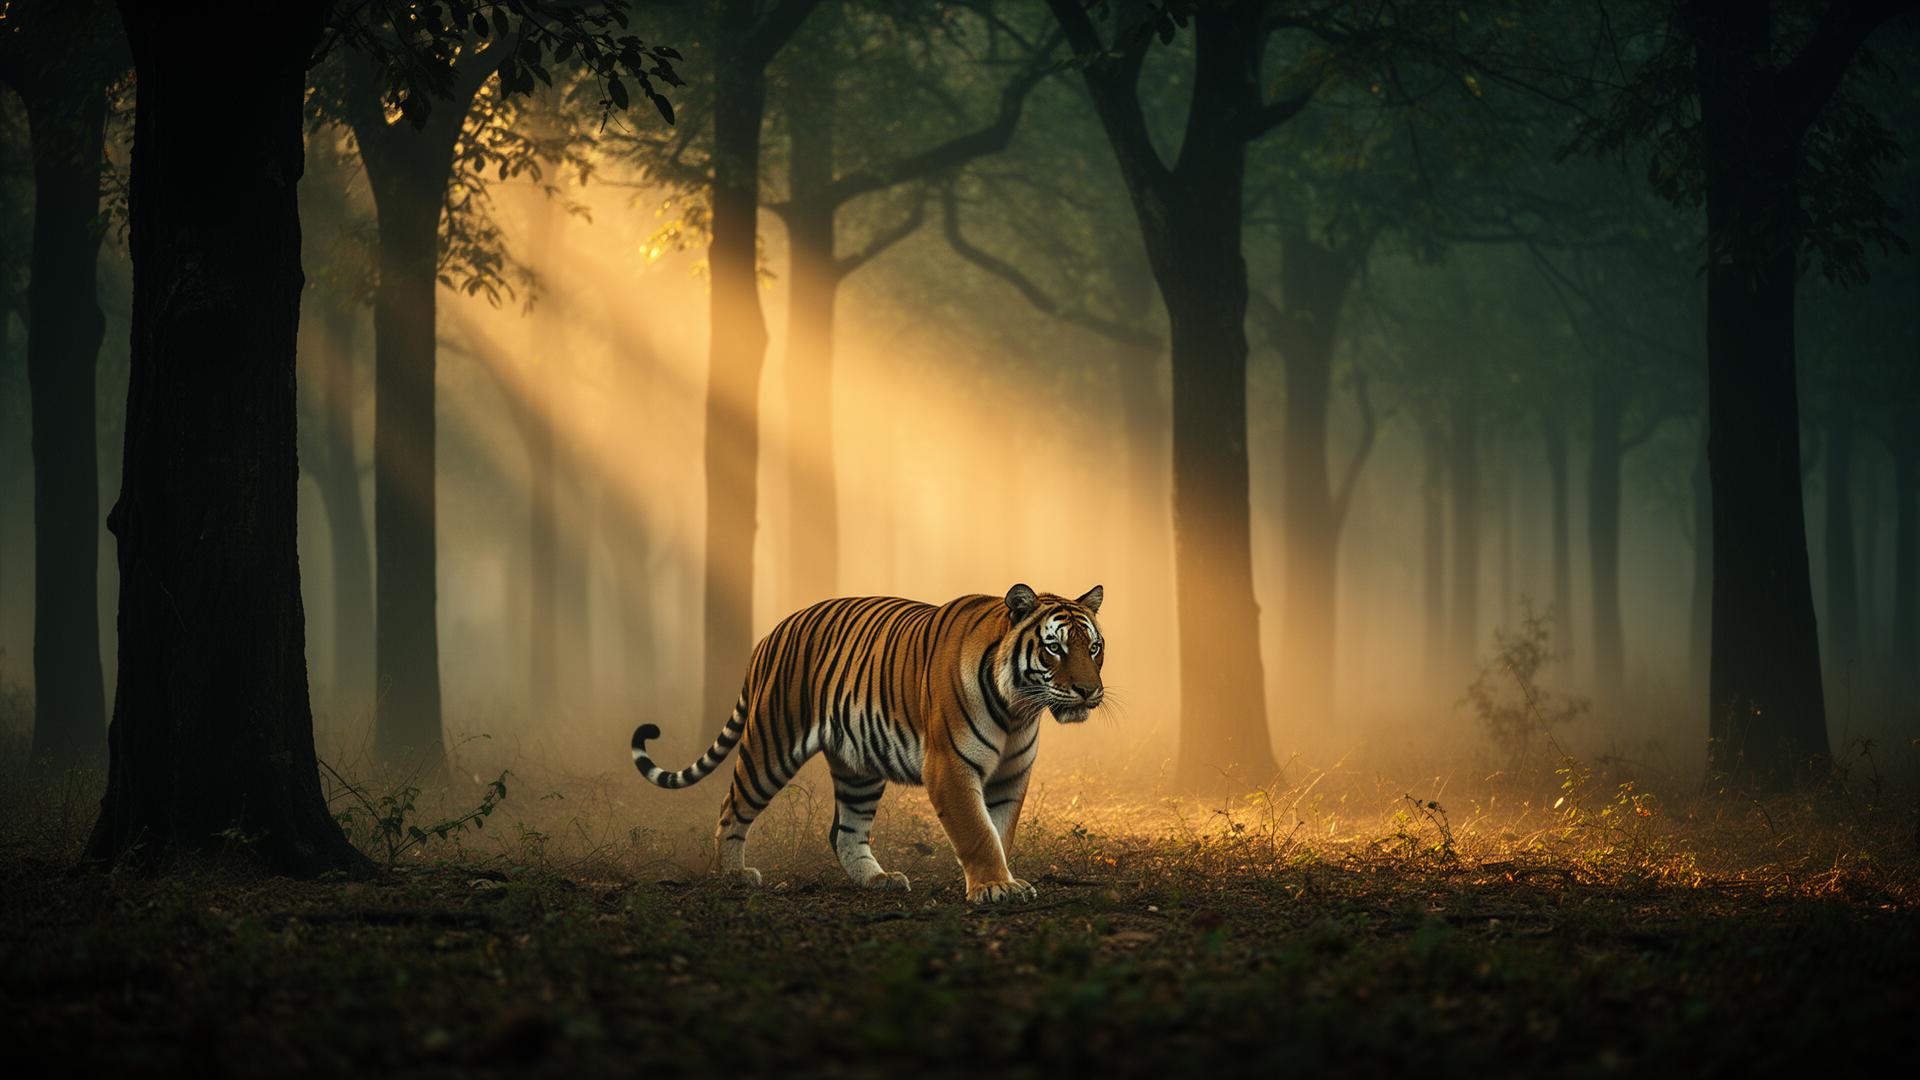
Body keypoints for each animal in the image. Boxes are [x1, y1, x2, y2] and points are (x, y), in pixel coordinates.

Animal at [631, 583, 1105, 904]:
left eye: (1095, 648)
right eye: (1054, 648)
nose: (1088, 691)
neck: (1018, 710)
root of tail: (771, 633)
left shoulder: (1011, 775)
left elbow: (1000, 830)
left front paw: (1004, 880)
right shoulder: (949, 768)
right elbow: (977, 831)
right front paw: (994, 888)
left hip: (858, 768)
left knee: (844, 832)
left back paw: (879, 880)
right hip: (771, 743)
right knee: (732, 807)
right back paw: (735, 875)